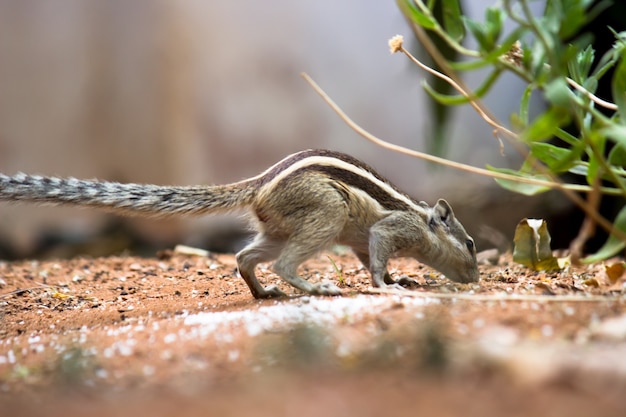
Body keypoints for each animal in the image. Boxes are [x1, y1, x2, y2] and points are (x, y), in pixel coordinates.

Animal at [0, 148, 478, 298]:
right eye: (471, 245)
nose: (475, 279)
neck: (423, 220)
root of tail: (258, 187)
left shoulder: (363, 241)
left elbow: (371, 258)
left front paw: (402, 279)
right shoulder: (389, 231)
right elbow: (377, 259)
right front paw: (389, 286)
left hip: (281, 229)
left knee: (246, 256)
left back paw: (263, 293)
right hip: (326, 216)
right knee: (282, 264)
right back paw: (313, 288)